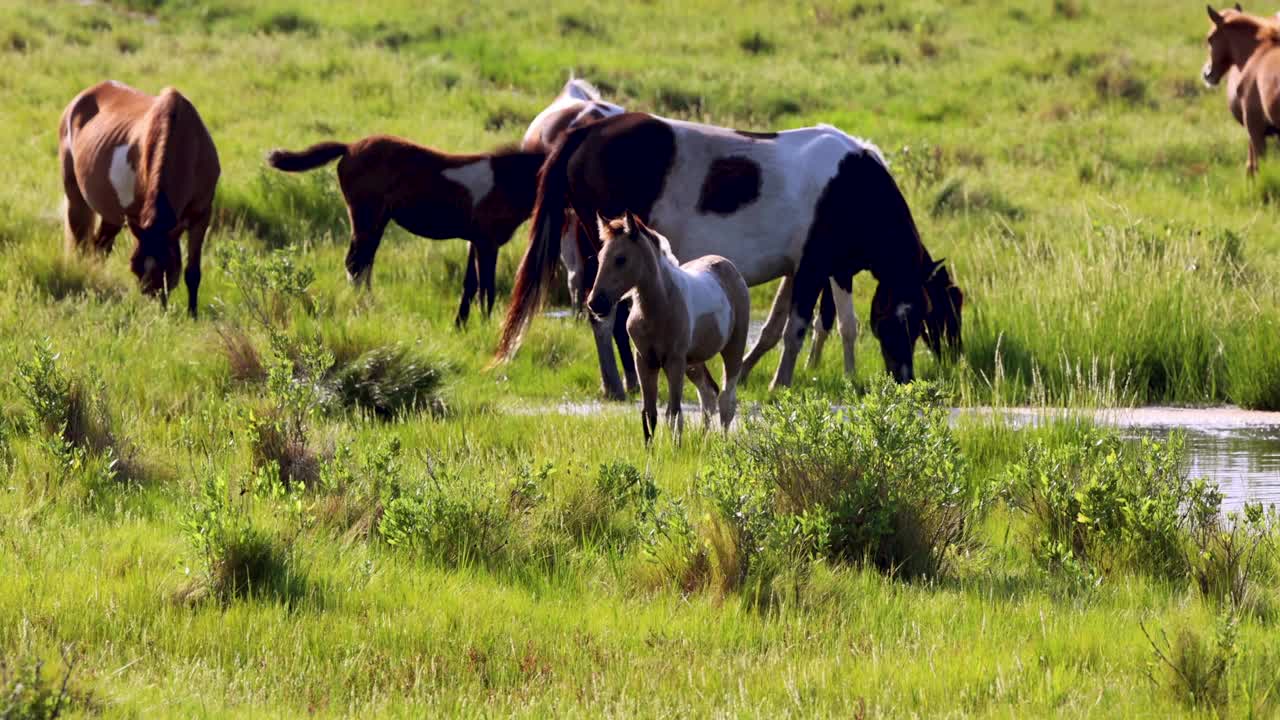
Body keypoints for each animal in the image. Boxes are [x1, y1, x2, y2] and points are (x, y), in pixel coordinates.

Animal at [58, 79, 220, 315]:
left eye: (169, 270)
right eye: (136, 270)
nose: (157, 311)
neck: (185, 142)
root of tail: (79, 100)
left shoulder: (202, 216)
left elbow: (193, 273)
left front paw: (193, 315)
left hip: (112, 216)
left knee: (99, 248)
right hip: (76, 200)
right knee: (81, 244)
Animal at [267, 135, 547, 325]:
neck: (506, 181)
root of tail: (350, 147)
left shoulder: (475, 241)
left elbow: (470, 284)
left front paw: (460, 326)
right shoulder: (488, 242)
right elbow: (487, 288)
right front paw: (486, 327)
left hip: (377, 221)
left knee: (363, 263)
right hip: (366, 217)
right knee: (356, 263)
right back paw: (365, 308)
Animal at [494, 112, 962, 392]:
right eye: (914, 316)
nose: (906, 378)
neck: (853, 184)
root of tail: (584, 133)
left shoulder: (815, 268)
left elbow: (811, 325)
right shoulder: (813, 267)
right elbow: (796, 328)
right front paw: (780, 383)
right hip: (605, 257)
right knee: (604, 316)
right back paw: (618, 383)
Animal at [586, 210, 752, 440]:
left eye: (621, 259)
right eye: (600, 257)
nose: (595, 303)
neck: (658, 308)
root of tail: (727, 264)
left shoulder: (674, 361)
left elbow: (674, 414)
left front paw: (676, 447)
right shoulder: (644, 361)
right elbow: (649, 414)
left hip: (733, 347)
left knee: (727, 399)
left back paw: (724, 443)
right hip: (693, 361)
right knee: (708, 393)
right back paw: (702, 441)